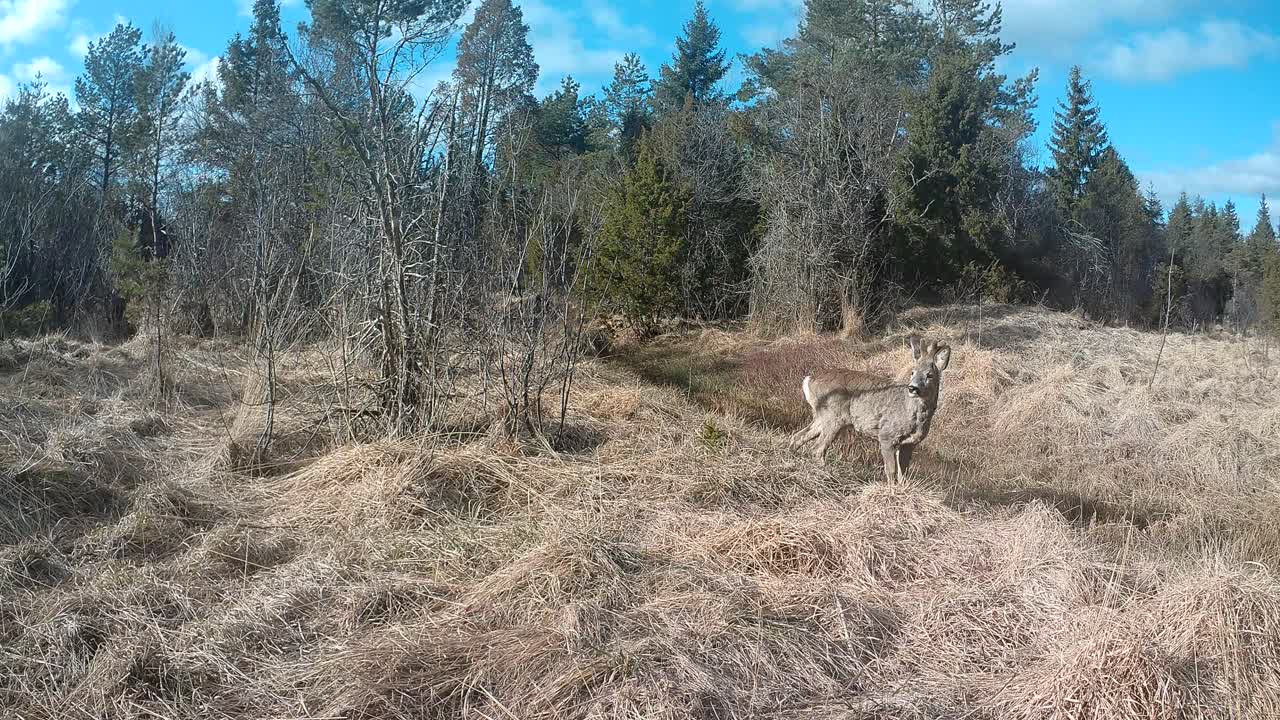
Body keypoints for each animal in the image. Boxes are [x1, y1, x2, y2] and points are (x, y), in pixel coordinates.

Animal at [788, 335, 952, 483]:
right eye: (912, 372)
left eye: (930, 375)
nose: (913, 388)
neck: (912, 413)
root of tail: (809, 380)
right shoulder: (886, 435)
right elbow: (891, 471)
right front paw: (891, 491)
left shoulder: (909, 444)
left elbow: (903, 475)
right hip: (833, 416)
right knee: (817, 448)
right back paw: (827, 475)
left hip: (822, 416)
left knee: (798, 436)